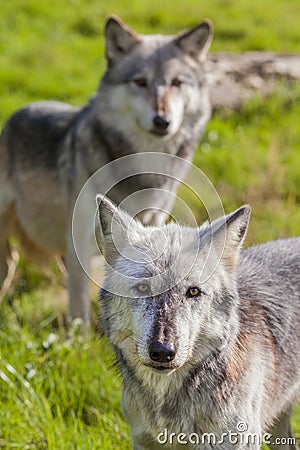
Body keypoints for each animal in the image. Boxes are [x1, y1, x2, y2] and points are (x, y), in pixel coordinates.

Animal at [0, 14, 213, 324]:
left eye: (176, 83)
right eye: (140, 82)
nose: (162, 121)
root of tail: (16, 114)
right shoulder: (80, 241)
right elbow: (79, 310)